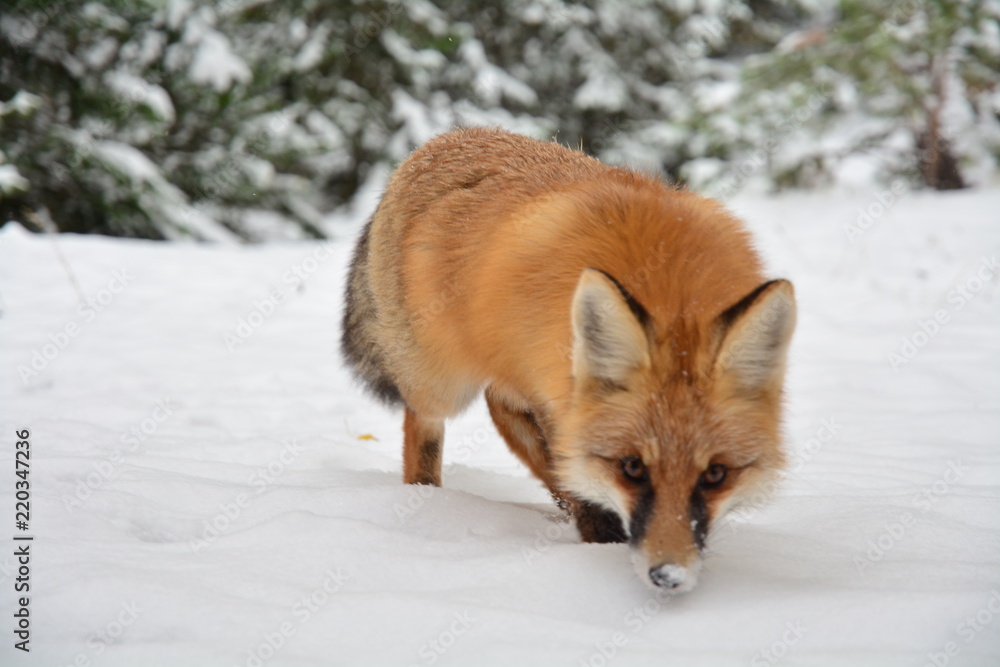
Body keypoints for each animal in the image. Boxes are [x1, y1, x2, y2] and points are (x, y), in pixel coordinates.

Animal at [341, 127, 796, 592]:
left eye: (716, 474)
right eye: (632, 468)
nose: (669, 575)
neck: (671, 292)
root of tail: (445, 139)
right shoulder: (554, 393)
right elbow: (582, 485)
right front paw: (599, 544)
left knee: (501, 407)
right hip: (441, 379)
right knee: (427, 423)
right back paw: (426, 495)